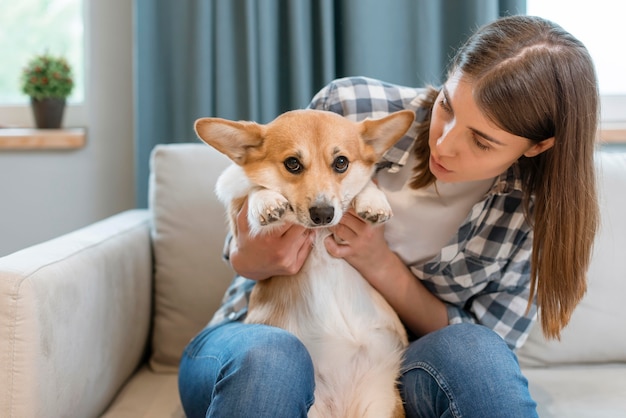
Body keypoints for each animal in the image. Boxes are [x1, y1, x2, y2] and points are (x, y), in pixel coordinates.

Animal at [193, 108, 412, 418]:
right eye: (292, 164)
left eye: (341, 162)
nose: (323, 214)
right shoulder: (237, 212)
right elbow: (252, 187)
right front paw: (267, 201)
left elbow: (366, 183)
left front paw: (373, 200)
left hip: (380, 407)